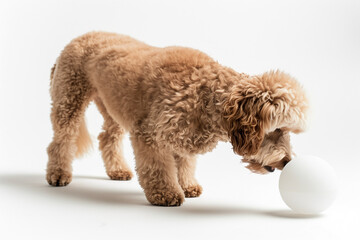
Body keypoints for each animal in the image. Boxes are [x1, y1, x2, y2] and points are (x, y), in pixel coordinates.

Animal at [46, 31, 308, 206]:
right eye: (277, 129)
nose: (288, 161)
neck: (205, 91)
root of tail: (79, 37)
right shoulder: (148, 134)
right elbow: (157, 167)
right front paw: (165, 193)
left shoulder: (184, 136)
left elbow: (185, 162)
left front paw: (187, 184)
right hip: (69, 100)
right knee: (61, 140)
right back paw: (58, 174)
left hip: (114, 107)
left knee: (107, 137)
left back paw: (117, 170)